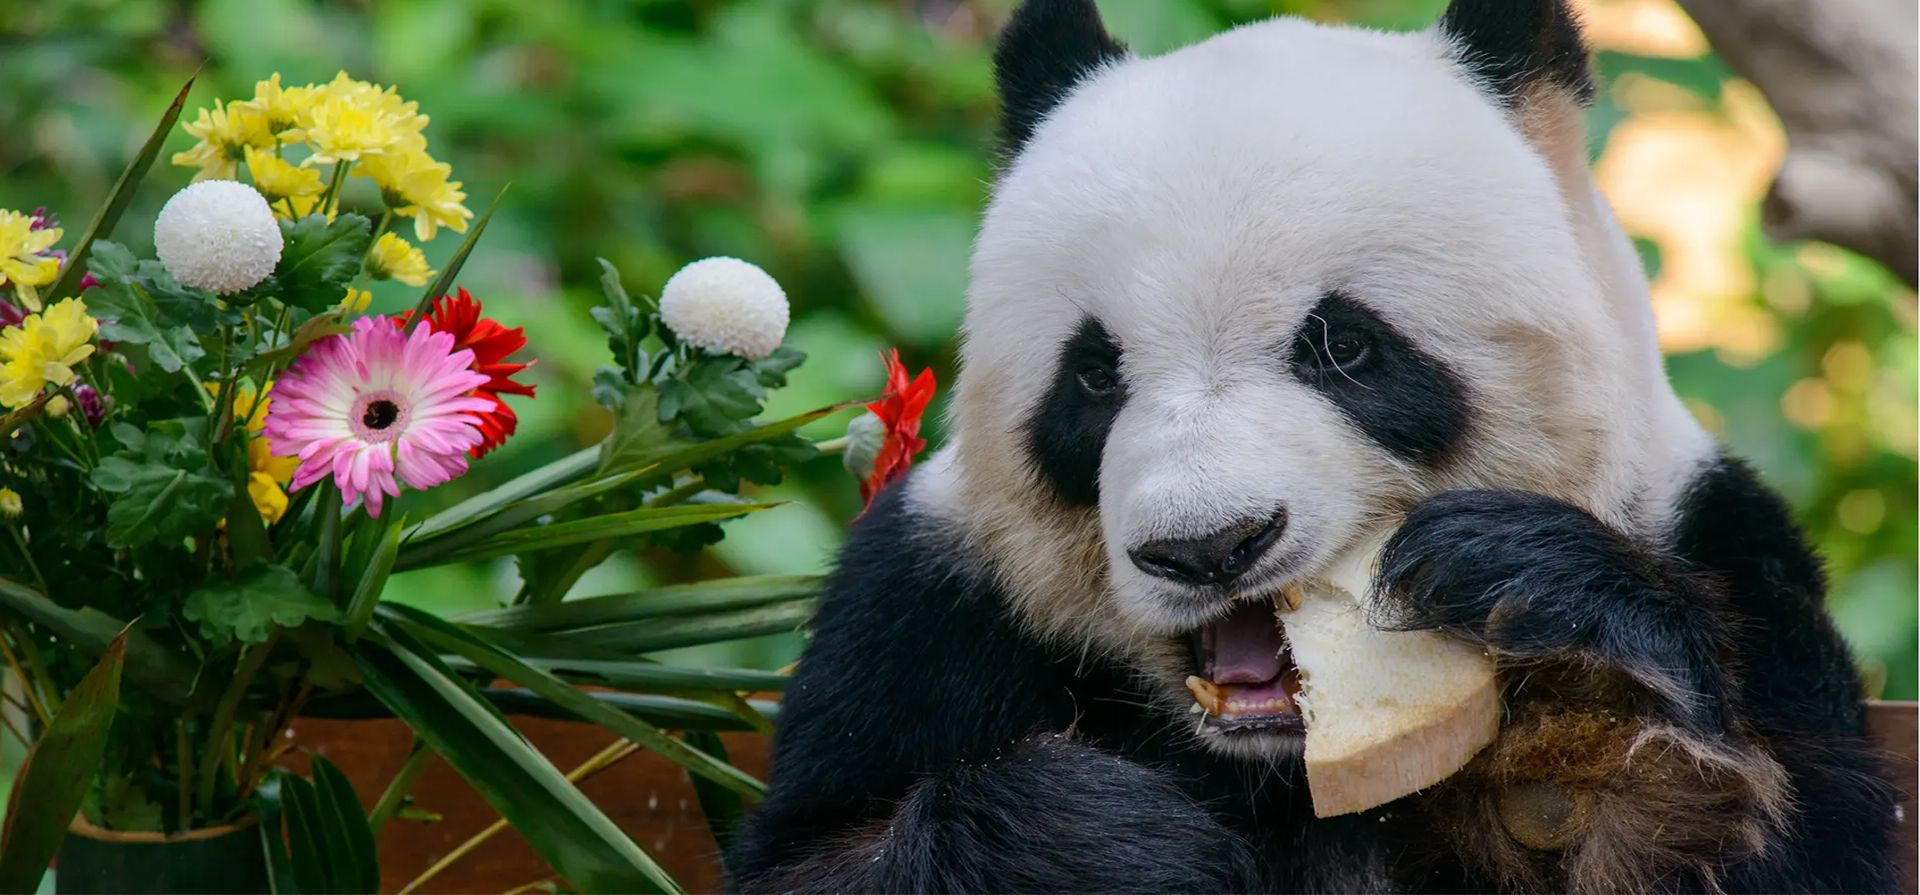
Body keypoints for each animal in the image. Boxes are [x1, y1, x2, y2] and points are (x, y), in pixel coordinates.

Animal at [725, 0, 1901, 891]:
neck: (1275, 764)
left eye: (1344, 345)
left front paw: (1575, 639)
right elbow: (811, 855)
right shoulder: (921, 608)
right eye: (1094, 374)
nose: (1207, 547)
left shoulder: (1724, 548)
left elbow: (1801, 839)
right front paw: (1091, 833)